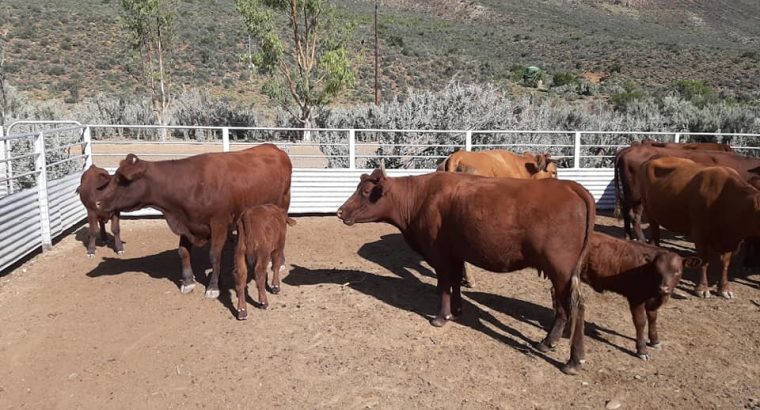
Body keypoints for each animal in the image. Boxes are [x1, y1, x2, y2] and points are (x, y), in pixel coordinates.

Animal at [96, 144, 292, 298]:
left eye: (122, 180)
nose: (98, 202)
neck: (192, 185)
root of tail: (274, 148)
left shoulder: (219, 224)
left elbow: (214, 255)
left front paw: (213, 287)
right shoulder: (186, 224)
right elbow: (183, 252)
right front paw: (188, 282)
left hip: (283, 204)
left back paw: (280, 262)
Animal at [337, 164, 595, 374]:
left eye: (365, 192)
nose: (340, 211)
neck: (421, 197)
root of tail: (569, 186)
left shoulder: (439, 254)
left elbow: (443, 284)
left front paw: (441, 317)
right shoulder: (456, 252)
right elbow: (455, 281)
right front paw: (458, 309)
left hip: (561, 269)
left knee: (576, 305)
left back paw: (573, 361)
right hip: (561, 273)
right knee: (561, 303)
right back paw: (547, 342)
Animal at [614, 143, 760, 241]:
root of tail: (627, 149)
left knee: (626, 210)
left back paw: (628, 236)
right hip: (637, 195)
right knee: (634, 215)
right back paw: (642, 240)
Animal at [640, 156, 760, 298]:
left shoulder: (730, 239)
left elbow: (725, 264)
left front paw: (724, 288)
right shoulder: (700, 234)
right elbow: (704, 261)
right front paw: (702, 288)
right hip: (649, 211)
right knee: (656, 234)